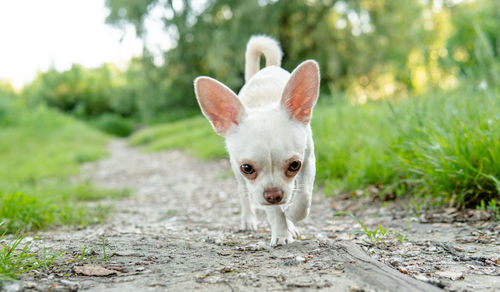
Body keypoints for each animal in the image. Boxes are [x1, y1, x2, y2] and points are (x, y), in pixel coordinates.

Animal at [193, 36, 318, 246]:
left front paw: (292, 214)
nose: (274, 195)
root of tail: (267, 68)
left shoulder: (308, 160)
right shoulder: (257, 188)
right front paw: (281, 233)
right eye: (247, 168)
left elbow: (304, 196)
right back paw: (249, 219)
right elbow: (274, 211)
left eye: (294, 165)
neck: (264, 103)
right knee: (243, 194)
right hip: (238, 177)